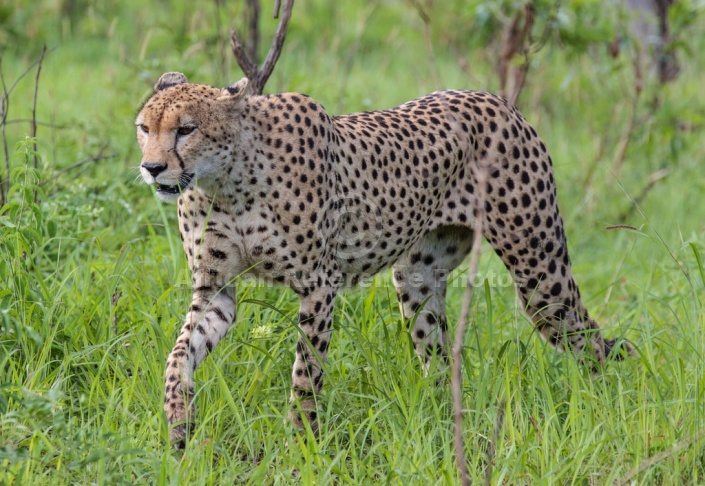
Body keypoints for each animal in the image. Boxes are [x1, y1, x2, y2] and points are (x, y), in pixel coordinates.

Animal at [135, 70, 628, 446]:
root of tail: (495, 98)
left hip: (540, 275)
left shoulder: (319, 285)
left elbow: (305, 372)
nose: (152, 168)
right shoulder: (215, 289)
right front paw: (178, 422)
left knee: (593, 342)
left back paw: (610, 404)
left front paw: (301, 442)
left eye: (186, 129)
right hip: (416, 278)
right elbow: (179, 354)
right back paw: (439, 421)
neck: (227, 182)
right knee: (439, 359)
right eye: (145, 128)